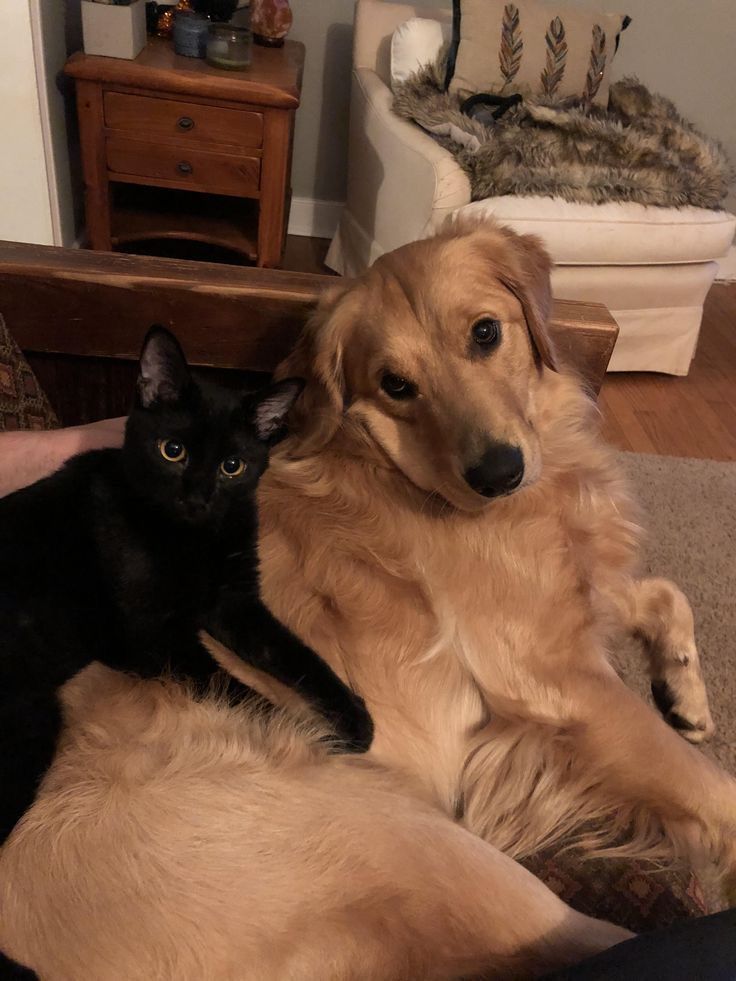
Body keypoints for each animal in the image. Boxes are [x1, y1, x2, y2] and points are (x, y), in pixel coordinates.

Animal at [0, 326, 370, 848]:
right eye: (172, 451)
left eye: (232, 466)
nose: (197, 498)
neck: (194, 540)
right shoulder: (155, 637)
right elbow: (237, 689)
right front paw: (308, 733)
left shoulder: (236, 603)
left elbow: (296, 654)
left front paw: (352, 717)